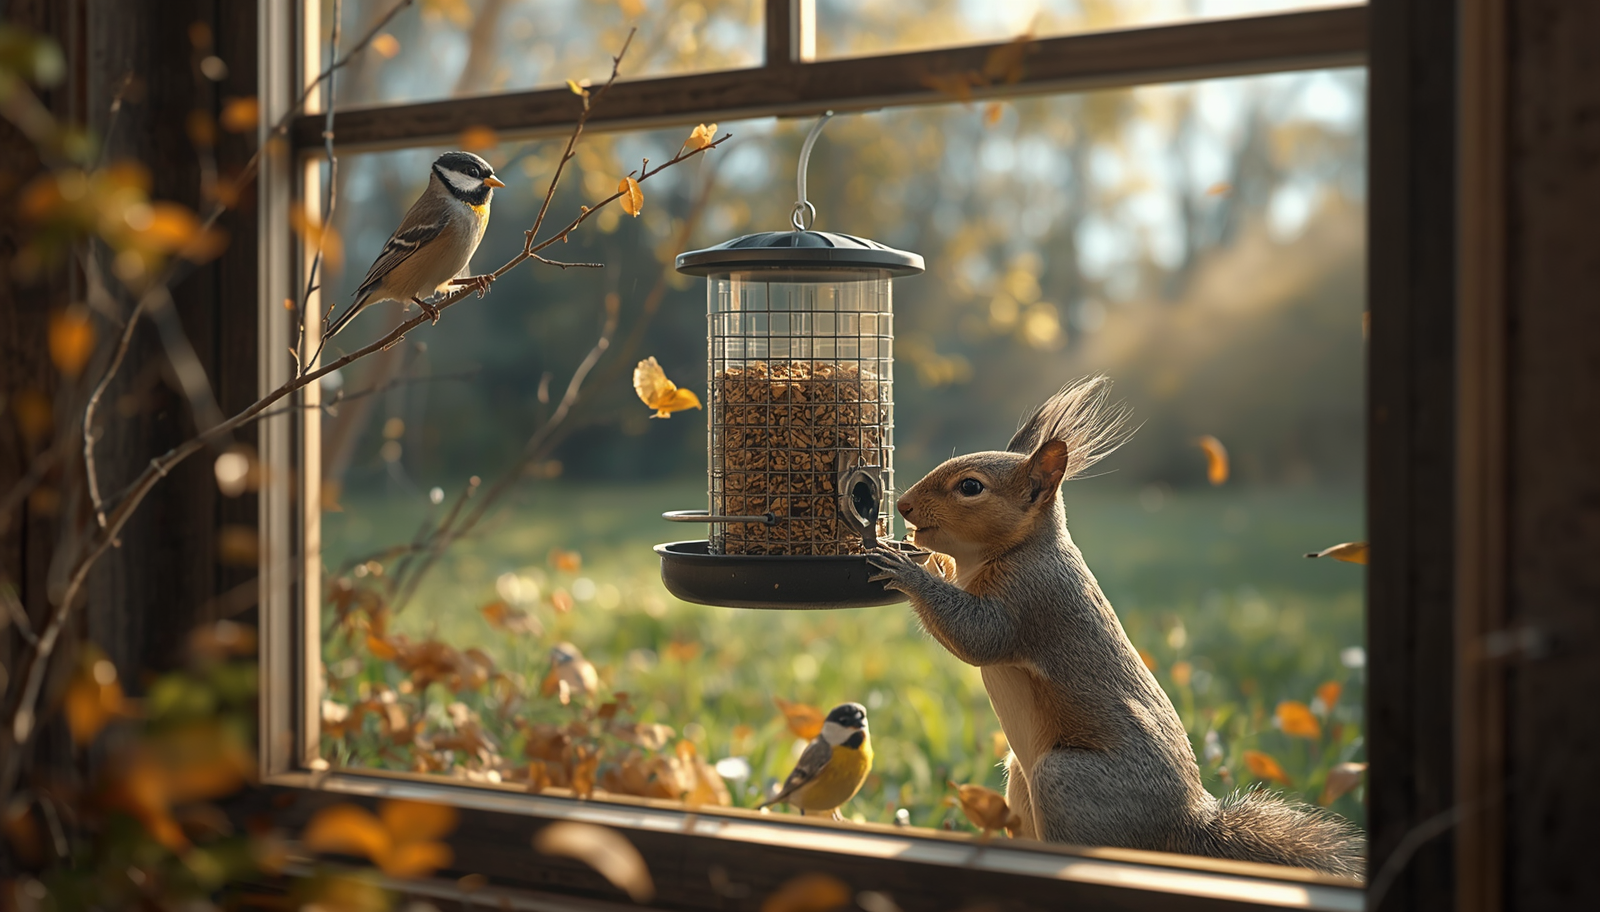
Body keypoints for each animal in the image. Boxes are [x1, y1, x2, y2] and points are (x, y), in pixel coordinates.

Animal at [865, 376, 1364, 878]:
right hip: (1021, 779)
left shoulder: (1032, 597)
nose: (903, 506)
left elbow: (977, 638)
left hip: (1067, 781)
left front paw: (908, 570)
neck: (1017, 549)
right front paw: (929, 559)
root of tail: (1182, 827)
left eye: (971, 487)